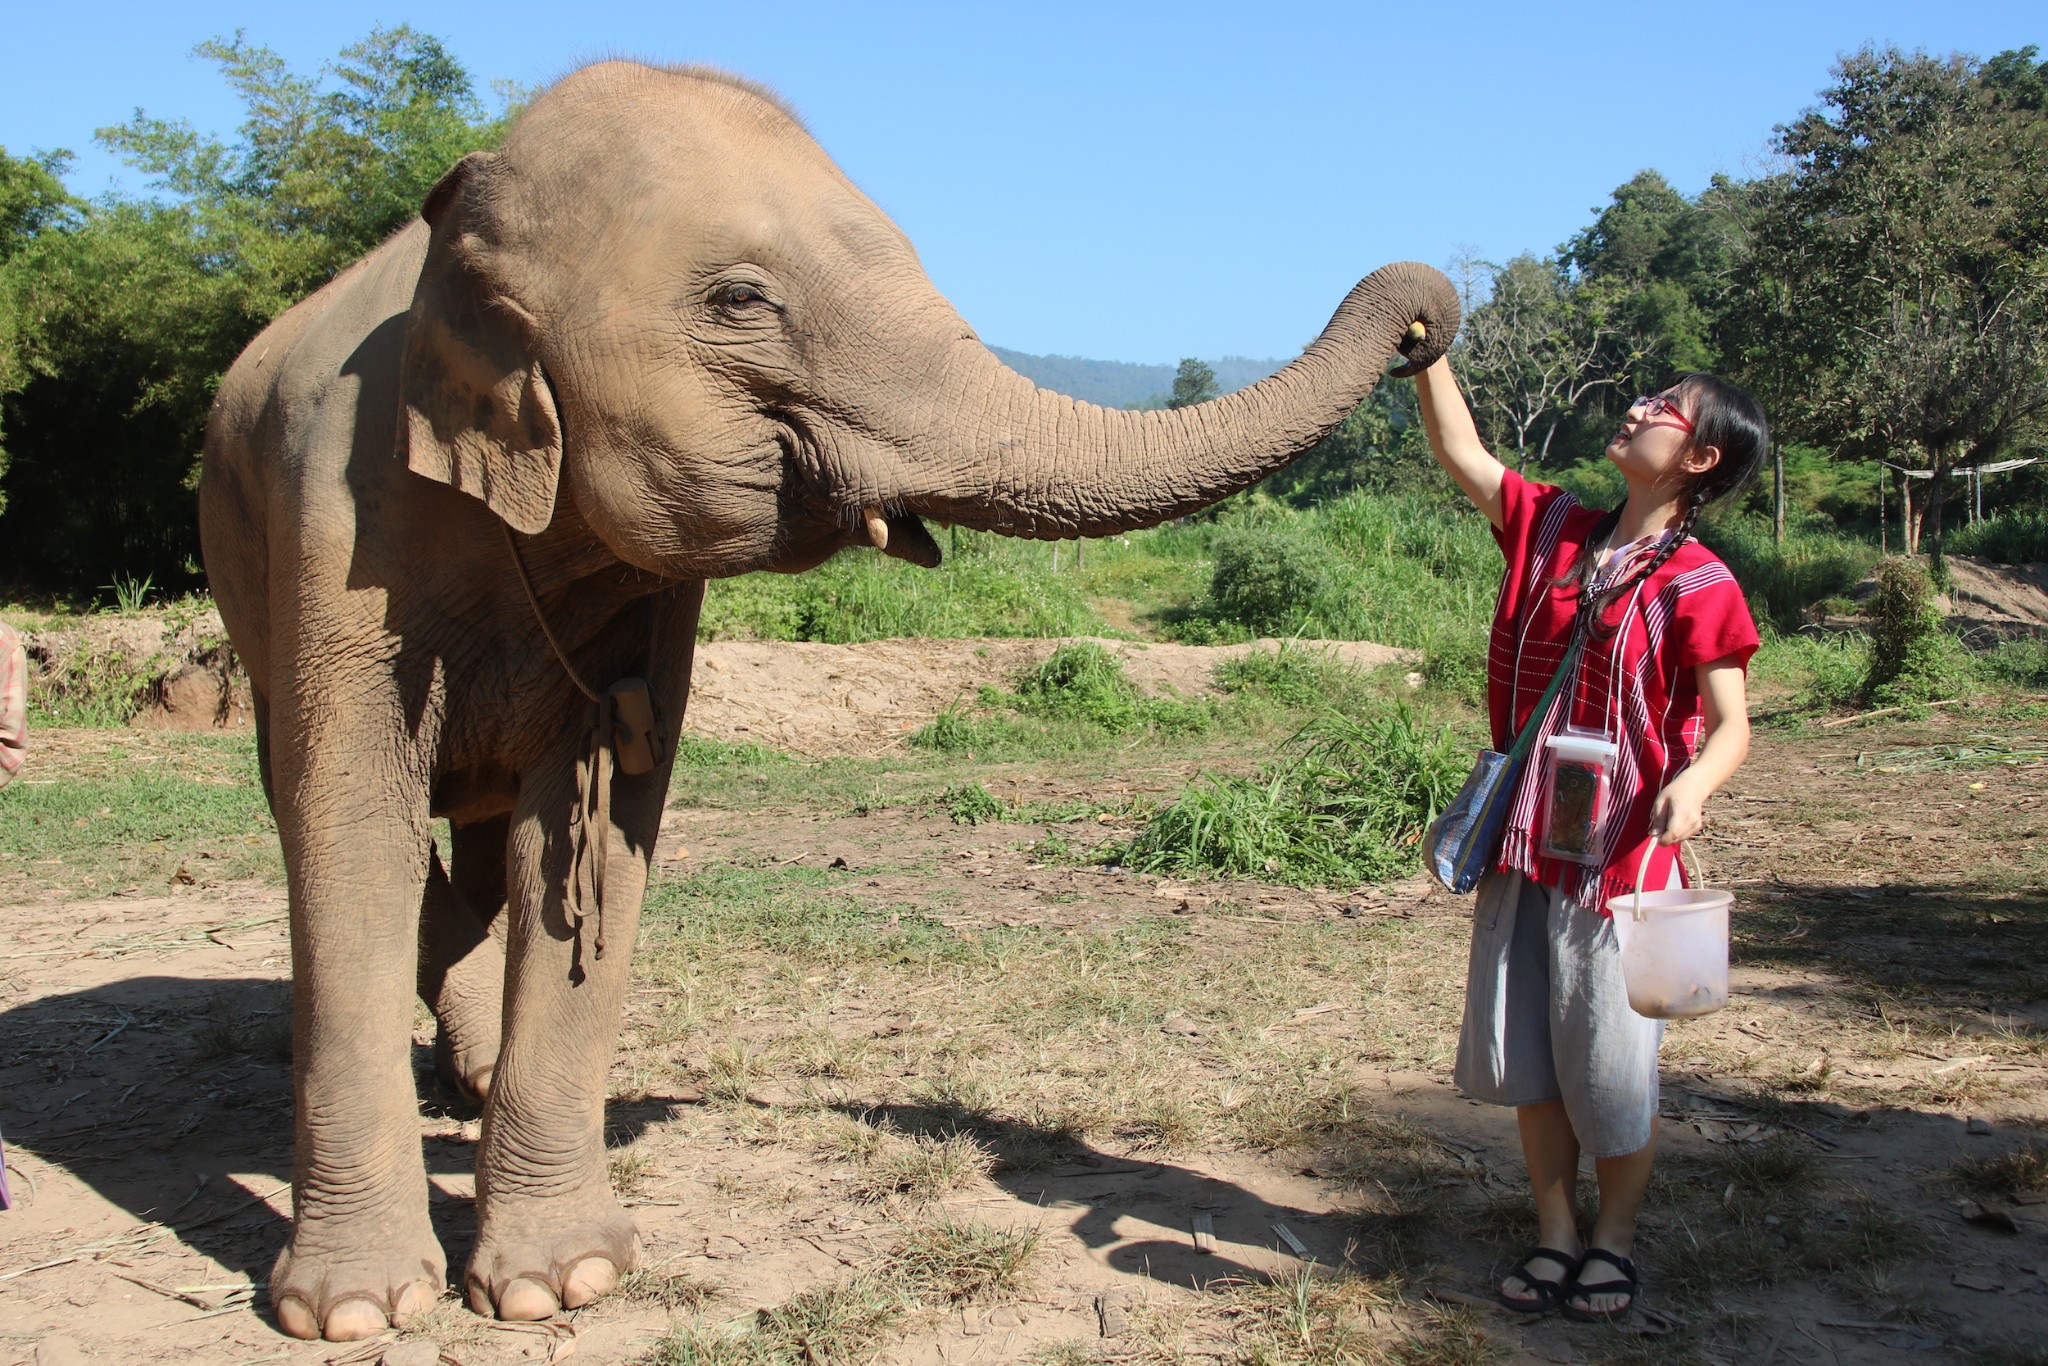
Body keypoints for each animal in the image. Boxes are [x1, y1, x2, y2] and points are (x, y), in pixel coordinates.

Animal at [199, 58, 1458, 1343]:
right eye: (740, 299)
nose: (1423, 319)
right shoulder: (330, 521)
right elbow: (356, 830)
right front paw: (356, 1311)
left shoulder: (652, 603)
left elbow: (594, 830)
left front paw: (561, 1283)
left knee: (491, 843)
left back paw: (476, 1081)